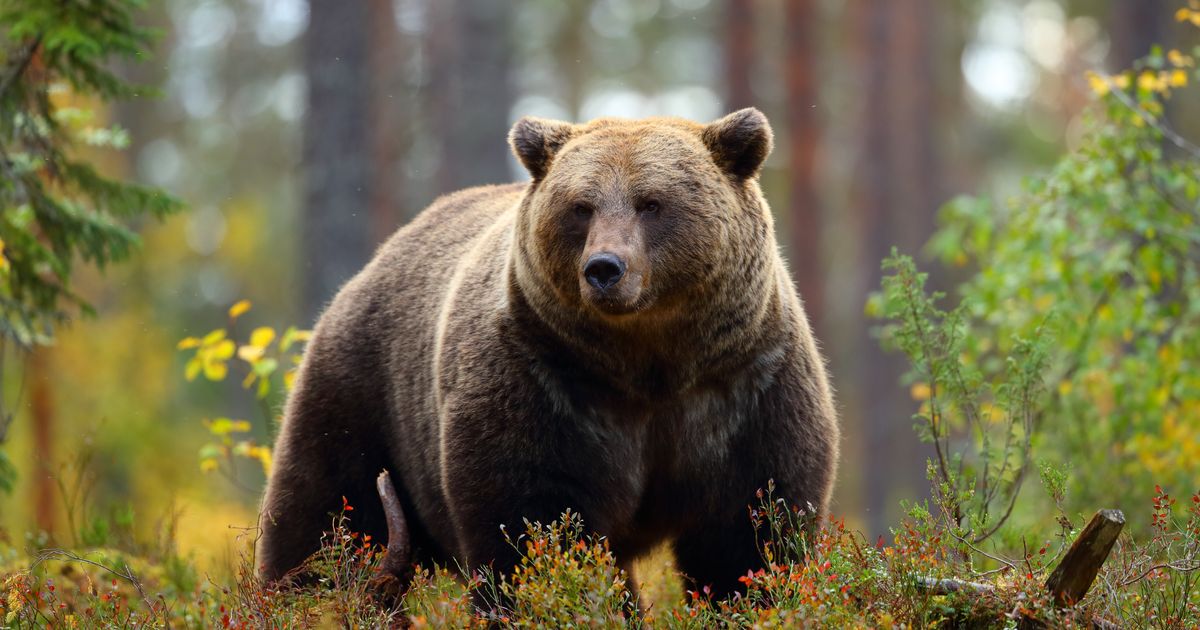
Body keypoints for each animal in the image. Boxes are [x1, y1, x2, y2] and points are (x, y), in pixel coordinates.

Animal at [258, 108, 840, 600]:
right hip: (363, 393)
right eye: (581, 207)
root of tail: (375, 262)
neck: (650, 364)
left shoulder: (745, 386)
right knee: (324, 516)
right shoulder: (543, 382)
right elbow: (532, 524)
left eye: (652, 203)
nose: (604, 268)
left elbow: (751, 533)